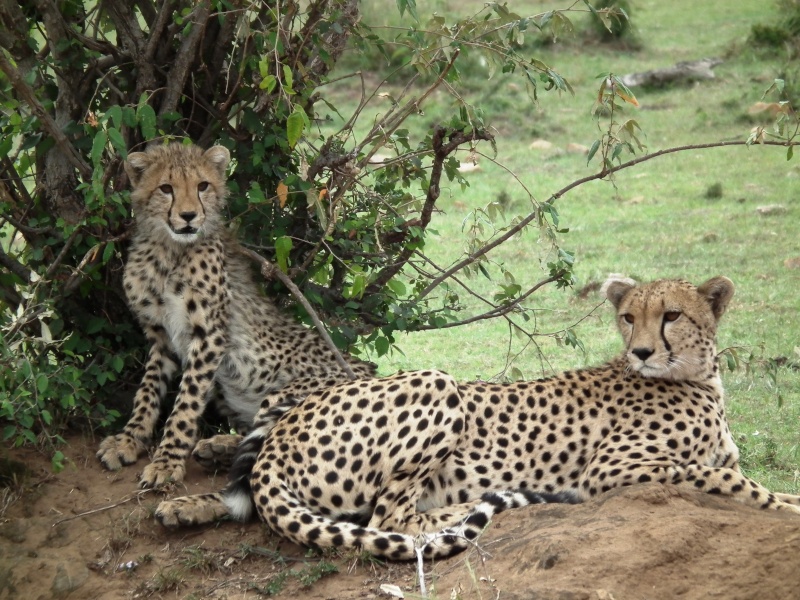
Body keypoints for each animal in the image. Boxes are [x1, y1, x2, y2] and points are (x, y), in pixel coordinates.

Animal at [97, 144, 376, 488]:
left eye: (202, 186)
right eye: (166, 188)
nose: (188, 216)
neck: (169, 249)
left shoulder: (209, 337)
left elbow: (185, 404)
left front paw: (166, 461)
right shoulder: (161, 337)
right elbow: (147, 392)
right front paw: (129, 440)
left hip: (289, 393)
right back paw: (217, 448)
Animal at [155, 276, 800, 556]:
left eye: (671, 315)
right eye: (628, 317)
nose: (642, 351)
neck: (696, 376)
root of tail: (284, 435)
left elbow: (731, 474)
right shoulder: (613, 471)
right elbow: (728, 481)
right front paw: (789, 505)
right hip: (437, 384)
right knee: (391, 520)